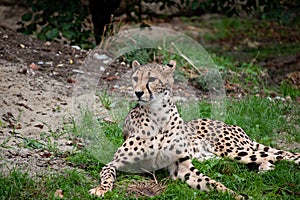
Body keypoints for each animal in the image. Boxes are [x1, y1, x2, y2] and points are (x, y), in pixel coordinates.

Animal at [89, 60, 300, 198]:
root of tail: (233, 125)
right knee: (269, 158)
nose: (138, 92)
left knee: (277, 156)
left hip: (232, 150)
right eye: (134, 78)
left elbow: (211, 182)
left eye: (152, 79)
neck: (158, 115)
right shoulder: (115, 163)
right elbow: (107, 174)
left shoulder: (181, 165)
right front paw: (101, 189)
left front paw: (234, 194)